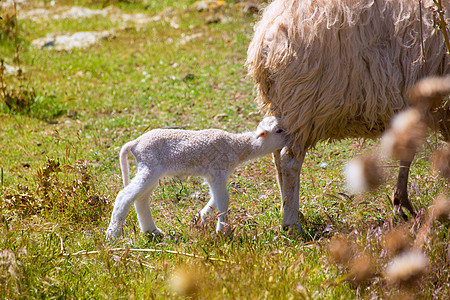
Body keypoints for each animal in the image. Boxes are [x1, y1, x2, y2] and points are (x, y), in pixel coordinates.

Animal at [106, 116, 284, 240]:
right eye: (279, 130)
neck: (237, 146)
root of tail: (136, 143)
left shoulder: (214, 176)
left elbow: (215, 200)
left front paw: (200, 220)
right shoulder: (218, 172)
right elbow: (223, 200)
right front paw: (222, 231)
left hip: (150, 170)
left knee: (141, 198)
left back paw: (152, 231)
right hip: (149, 166)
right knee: (125, 195)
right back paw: (112, 235)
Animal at [246, 0, 450, 233]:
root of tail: (268, 33)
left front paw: (401, 203)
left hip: (284, 106)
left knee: (277, 155)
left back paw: (289, 211)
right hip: (303, 102)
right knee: (289, 160)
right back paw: (292, 223)